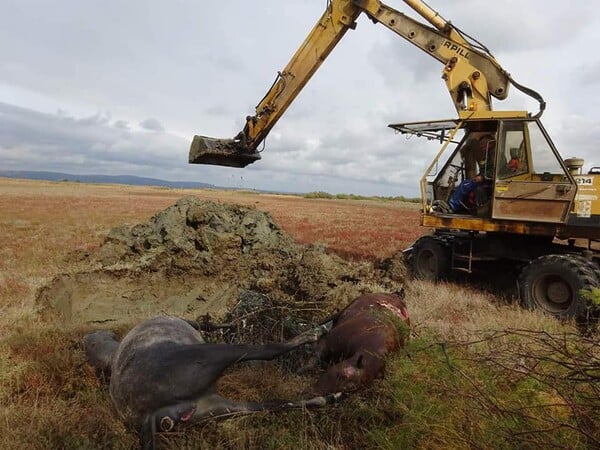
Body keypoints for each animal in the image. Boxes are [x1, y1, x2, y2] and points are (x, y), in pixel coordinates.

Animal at [82, 316, 340, 450]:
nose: (88, 335)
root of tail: (148, 415)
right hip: (210, 358)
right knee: (268, 351)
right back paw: (318, 330)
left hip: (216, 407)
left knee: (275, 404)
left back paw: (330, 397)